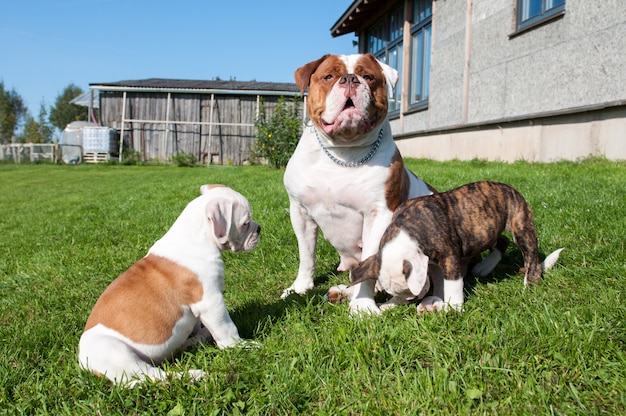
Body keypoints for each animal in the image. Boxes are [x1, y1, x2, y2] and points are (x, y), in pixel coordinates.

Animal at [78, 184, 258, 386]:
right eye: (245, 223)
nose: (259, 228)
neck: (197, 237)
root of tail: (85, 364)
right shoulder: (211, 301)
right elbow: (226, 328)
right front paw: (241, 345)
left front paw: (199, 335)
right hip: (118, 353)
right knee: (153, 377)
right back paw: (195, 375)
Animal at [282, 53, 434, 314]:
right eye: (329, 76)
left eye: (369, 77)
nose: (350, 79)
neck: (342, 153)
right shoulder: (300, 212)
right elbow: (306, 255)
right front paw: (300, 288)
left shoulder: (377, 216)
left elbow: (369, 263)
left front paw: (363, 306)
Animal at [352, 181, 560, 312]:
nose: (413, 298)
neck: (408, 229)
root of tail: (511, 188)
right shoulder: (431, 262)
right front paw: (392, 304)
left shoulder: (449, 258)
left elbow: (451, 283)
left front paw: (454, 307)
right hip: (487, 229)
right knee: (502, 241)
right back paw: (484, 267)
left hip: (520, 223)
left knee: (530, 253)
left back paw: (529, 283)